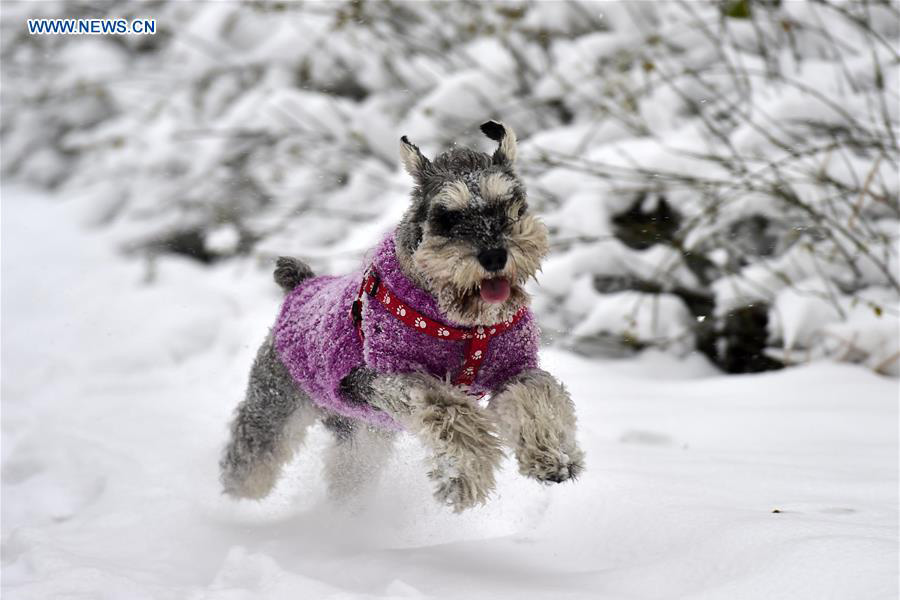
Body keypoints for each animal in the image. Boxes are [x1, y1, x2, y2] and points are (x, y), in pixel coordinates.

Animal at [219, 120, 584, 510]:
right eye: (446, 217)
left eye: (510, 205)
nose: (494, 255)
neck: (465, 325)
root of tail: (301, 285)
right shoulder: (384, 376)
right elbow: (447, 408)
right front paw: (463, 476)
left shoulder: (514, 368)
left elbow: (539, 392)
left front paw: (553, 456)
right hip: (273, 409)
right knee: (248, 462)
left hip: (361, 434)